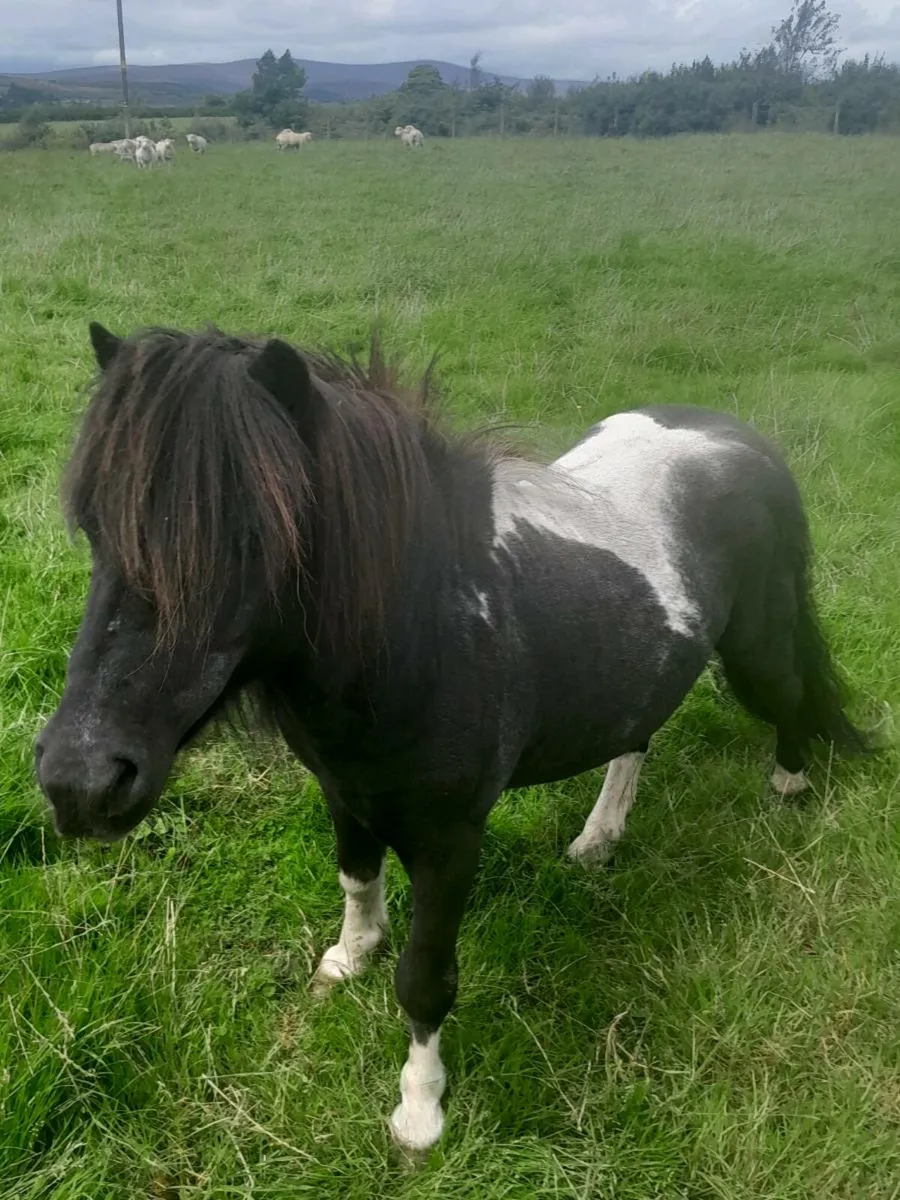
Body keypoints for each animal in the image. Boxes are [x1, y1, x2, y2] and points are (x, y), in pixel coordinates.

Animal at [36, 323, 869, 1154]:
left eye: (250, 537)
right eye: (95, 528)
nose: (79, 779)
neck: (425, 623)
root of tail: (747, 442)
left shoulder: (451, 839)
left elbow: (425, 977)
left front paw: (419, 1110)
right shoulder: (344, 792)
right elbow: (356, 878)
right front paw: (347, 959)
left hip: (757, 649)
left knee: (791, 698)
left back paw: (789, 789)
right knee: (638, 734)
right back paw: (599, 838)